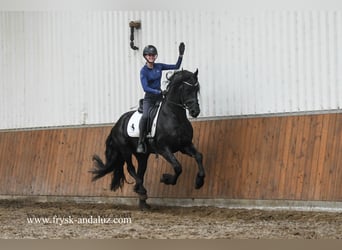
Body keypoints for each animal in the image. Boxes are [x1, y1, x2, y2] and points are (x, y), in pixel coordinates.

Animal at [89, 69, 204, 209]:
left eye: (196, 89)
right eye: (187, 90)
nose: (195, 111)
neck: (174, 116)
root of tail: (117, 124)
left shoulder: (185, 145)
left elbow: (199, 156)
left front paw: (199, 182)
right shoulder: (164, 149)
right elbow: (178, 167)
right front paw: (166, 179)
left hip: (142, 155)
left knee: (141, 171)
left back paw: (142, 199)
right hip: (125, 150)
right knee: (131, 168)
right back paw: (142, 190)